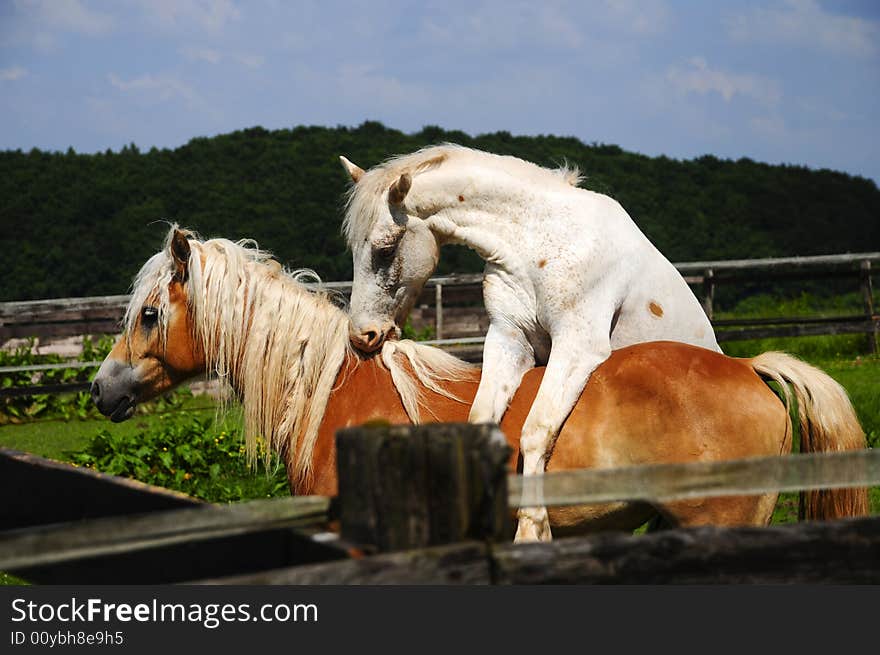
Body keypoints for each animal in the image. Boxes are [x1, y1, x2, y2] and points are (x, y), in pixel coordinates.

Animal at [336, 146, 720, 540]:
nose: (363, 335)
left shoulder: (576, 347)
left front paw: (532, 529)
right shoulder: (509, 341)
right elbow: (482, 422)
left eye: (385, 249)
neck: (537, 241)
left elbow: (535, 431)